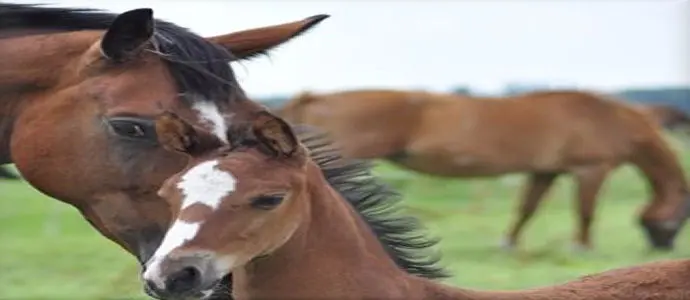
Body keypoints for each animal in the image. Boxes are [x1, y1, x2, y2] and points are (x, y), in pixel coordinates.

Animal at [276, 88, 688, 251]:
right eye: (681, 218)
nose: (663, 249)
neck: (603, 116)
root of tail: (316, 96)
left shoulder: (545, 172)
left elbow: (526, 209)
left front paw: (508, 243)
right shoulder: (591, 170)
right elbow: (585, 212)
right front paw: (583, 247)